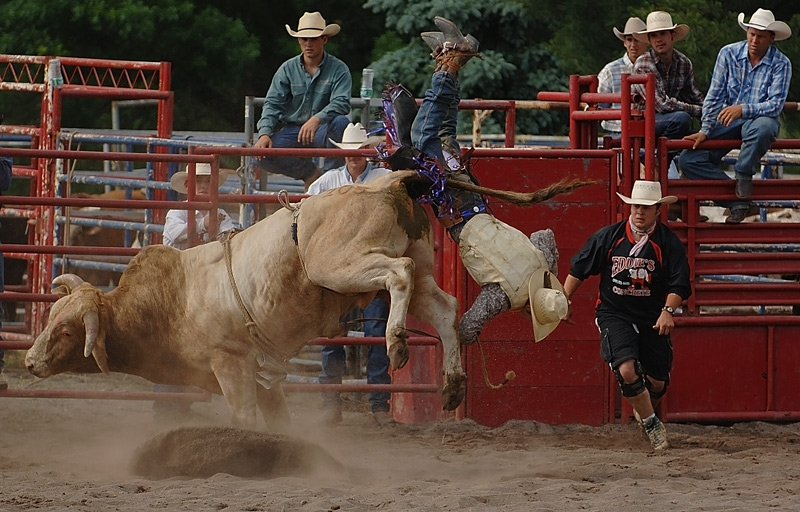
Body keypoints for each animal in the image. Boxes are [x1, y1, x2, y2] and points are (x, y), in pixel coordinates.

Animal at [25, 171, 592, 428]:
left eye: (67, 329)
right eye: (50, 318)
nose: (29, 362)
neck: (170, 304)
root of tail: (389, 181)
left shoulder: (232, 366)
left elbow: (246, 419)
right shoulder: (266, 376)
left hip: (340, 264)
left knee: (400, 275)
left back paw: (396, 343)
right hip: (403, 264)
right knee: (446, 307)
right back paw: (451, 383)